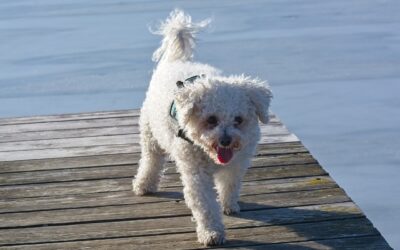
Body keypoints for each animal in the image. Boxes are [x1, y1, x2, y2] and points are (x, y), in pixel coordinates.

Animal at [133, 9, 274, 246]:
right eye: (211, 119)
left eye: (238, 119)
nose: (226, 140)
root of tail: (177, 59)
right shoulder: (196, 174)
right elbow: (206, 205)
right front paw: (211, 233)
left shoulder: (237, 163)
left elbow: (230, 185)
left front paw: (229, 205)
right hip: (150, 134)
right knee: (151, 160)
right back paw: (144, 184)